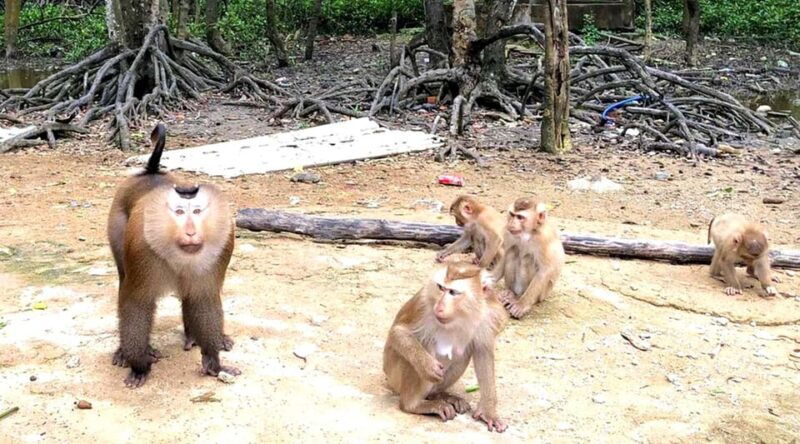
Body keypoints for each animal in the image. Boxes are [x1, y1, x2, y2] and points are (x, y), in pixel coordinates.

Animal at [107, 123, 239, 388]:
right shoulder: (141, 246)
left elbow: (203, 296)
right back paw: (127, 351)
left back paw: (196, 336)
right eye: (178, 212)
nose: (191, 232)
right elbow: (136, 301)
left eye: (197, 211)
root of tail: (150, 172)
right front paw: (140, 364)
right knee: (124, 278)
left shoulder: (223, 239)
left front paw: (213, 361)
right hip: (117, 222)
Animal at [383, 262, 508, 433]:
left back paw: (439, 395)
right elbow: (398, 332)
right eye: (441, 288)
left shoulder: (489, 315)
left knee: (464, 352)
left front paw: (488, 411)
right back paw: (412, 404)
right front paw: (427, 367)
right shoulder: (423, 303)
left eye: (453, 292)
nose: (439, 306)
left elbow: (483, 352)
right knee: (425, 340)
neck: (459, 315)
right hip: (394, 376)